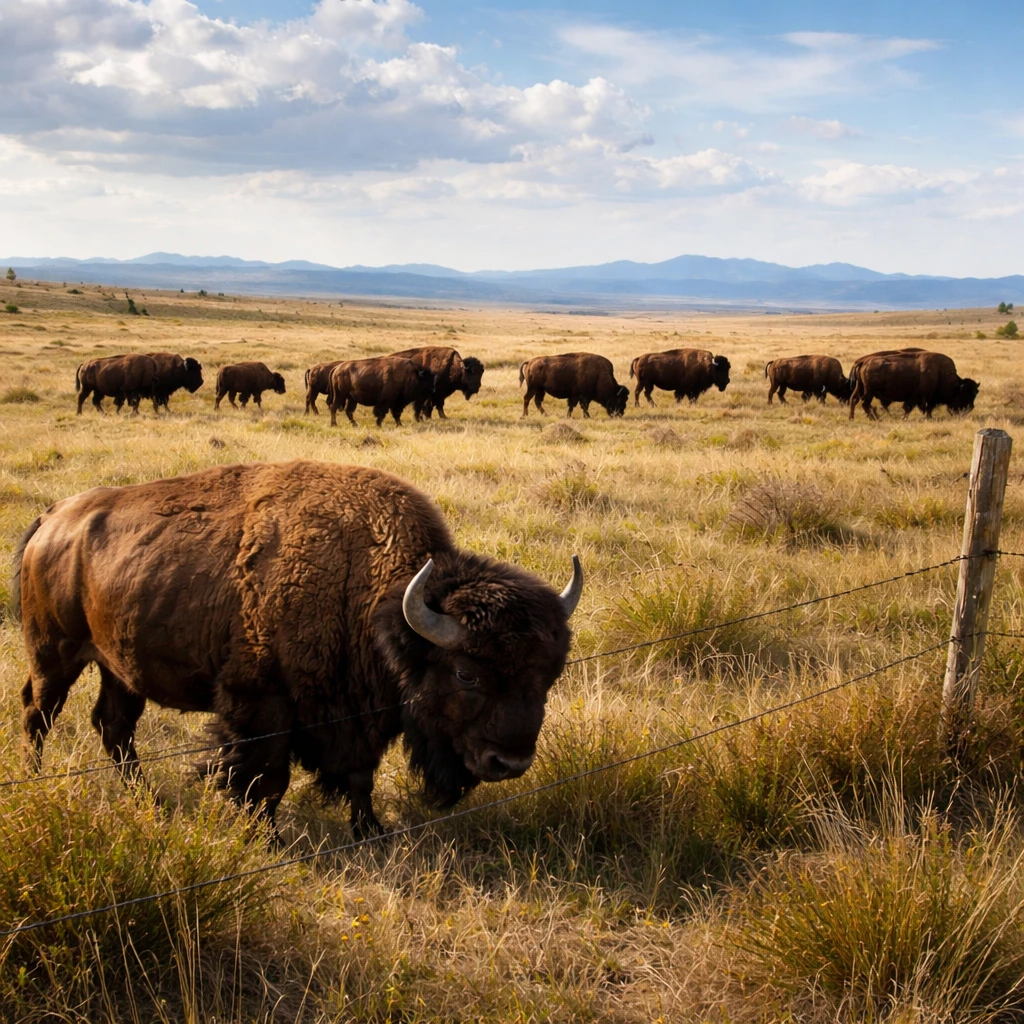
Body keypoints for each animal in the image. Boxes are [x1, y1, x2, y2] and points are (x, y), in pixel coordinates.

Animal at [14, 461, 583, 836]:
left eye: (549, 675)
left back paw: (148, 802)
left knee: (114, 728)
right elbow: (266, 779)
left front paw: (370, 831)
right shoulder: (263, 705)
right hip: (54, 653)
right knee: (38, 714)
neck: (367, 588)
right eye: (466, 673)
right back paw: (34, 785)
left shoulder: (358, 715)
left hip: (120, 665)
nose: (510, 761)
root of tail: (53, 517)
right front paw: (267, 838)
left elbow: (359, 775)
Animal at [849, 349, 979, 420]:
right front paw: (905, 418)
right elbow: (910, 407)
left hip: (861, 388)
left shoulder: (926, 398)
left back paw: (855, 418)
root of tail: (863, 362)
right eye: (965, 394)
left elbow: (926, 408)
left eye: (975, 394)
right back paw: (875, 419)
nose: (970, 408)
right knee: (865, 404)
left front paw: (928, 417)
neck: (941, 373)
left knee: (855, 400)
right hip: (869, 391)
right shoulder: (918, 396)